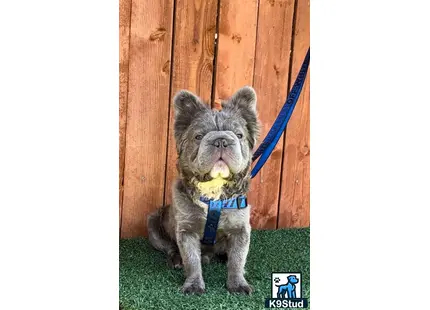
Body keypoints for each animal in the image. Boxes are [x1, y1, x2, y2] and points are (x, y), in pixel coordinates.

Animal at [148, 86, 260, 294]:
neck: (214, 191)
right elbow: (192, 260)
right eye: (198, 137)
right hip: (152, 222)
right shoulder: (187, 231)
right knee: (169, 247)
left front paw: (238, 283)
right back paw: (176, 259)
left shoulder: (241, 230)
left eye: (239, 135)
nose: (221, 140)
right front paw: (193, 285)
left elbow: (237, 259)